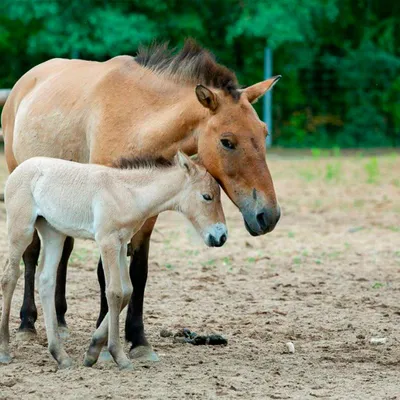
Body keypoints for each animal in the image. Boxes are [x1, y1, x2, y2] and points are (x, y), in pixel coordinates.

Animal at [0, 152, 227, 370]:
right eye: (207, 196)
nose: (221, 237)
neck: (127, 193)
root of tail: (19, 168)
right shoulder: (107, 242)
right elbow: (114, 292)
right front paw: (119, 356)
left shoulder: (122, 243)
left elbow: (127, 291)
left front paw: (92, 351)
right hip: (21, 230)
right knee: (9, 277)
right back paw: (5, 350)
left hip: (53, 232)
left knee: (46, 280)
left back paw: (60, 356)